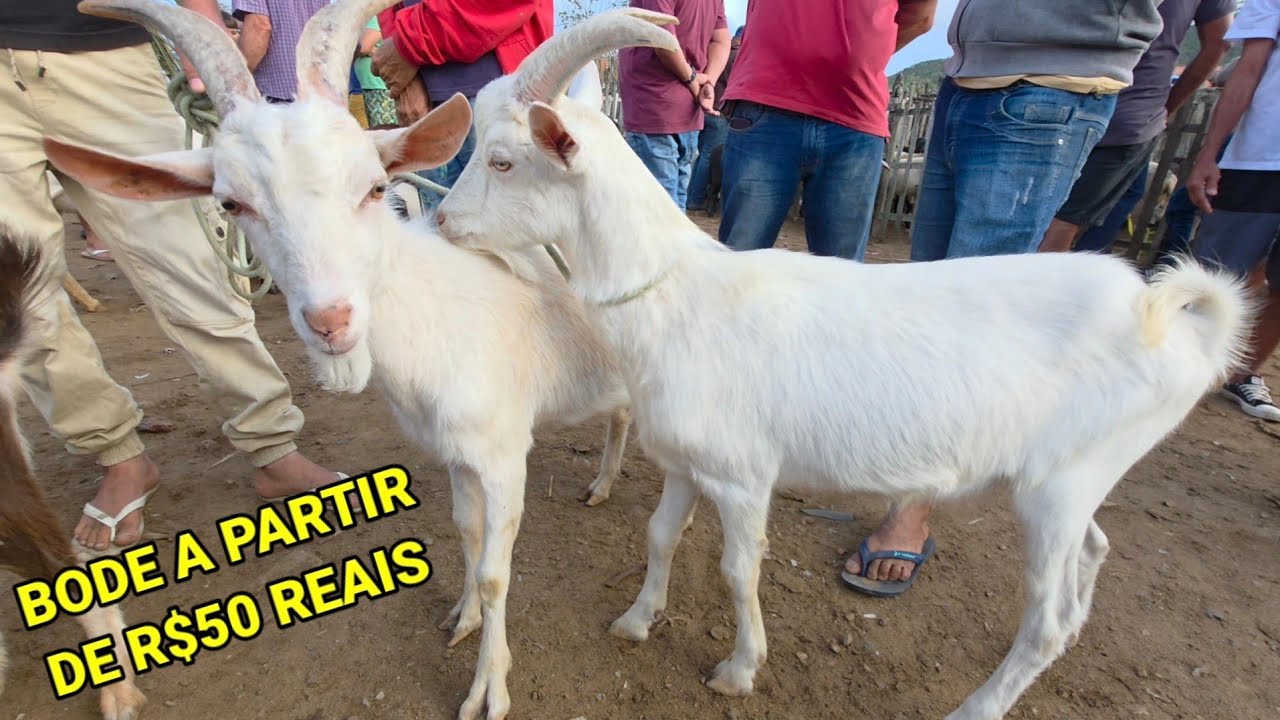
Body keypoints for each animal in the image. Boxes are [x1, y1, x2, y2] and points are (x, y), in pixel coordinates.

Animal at [44, 2, 640, 718]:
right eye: (230, 203)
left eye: (375, 188)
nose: (331, 321)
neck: (439, 310)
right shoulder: (455, 452)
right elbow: (466, 536)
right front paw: (462, 618)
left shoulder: (502, 453)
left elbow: (497, 573)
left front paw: (488, 689)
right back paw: (602, 484)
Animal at [434, 9, 1252, 720]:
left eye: (503, 160)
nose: (442, 219)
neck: (683, 294)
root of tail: (1173, 322)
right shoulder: (685, 461)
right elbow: (660, 536)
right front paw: (637, 620)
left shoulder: (742, 474)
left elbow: (738, 570)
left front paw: (739, 668)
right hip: (1081, 477)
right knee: (1095, 547)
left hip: (1059, 483)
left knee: (1042, 620)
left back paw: (979, 705)